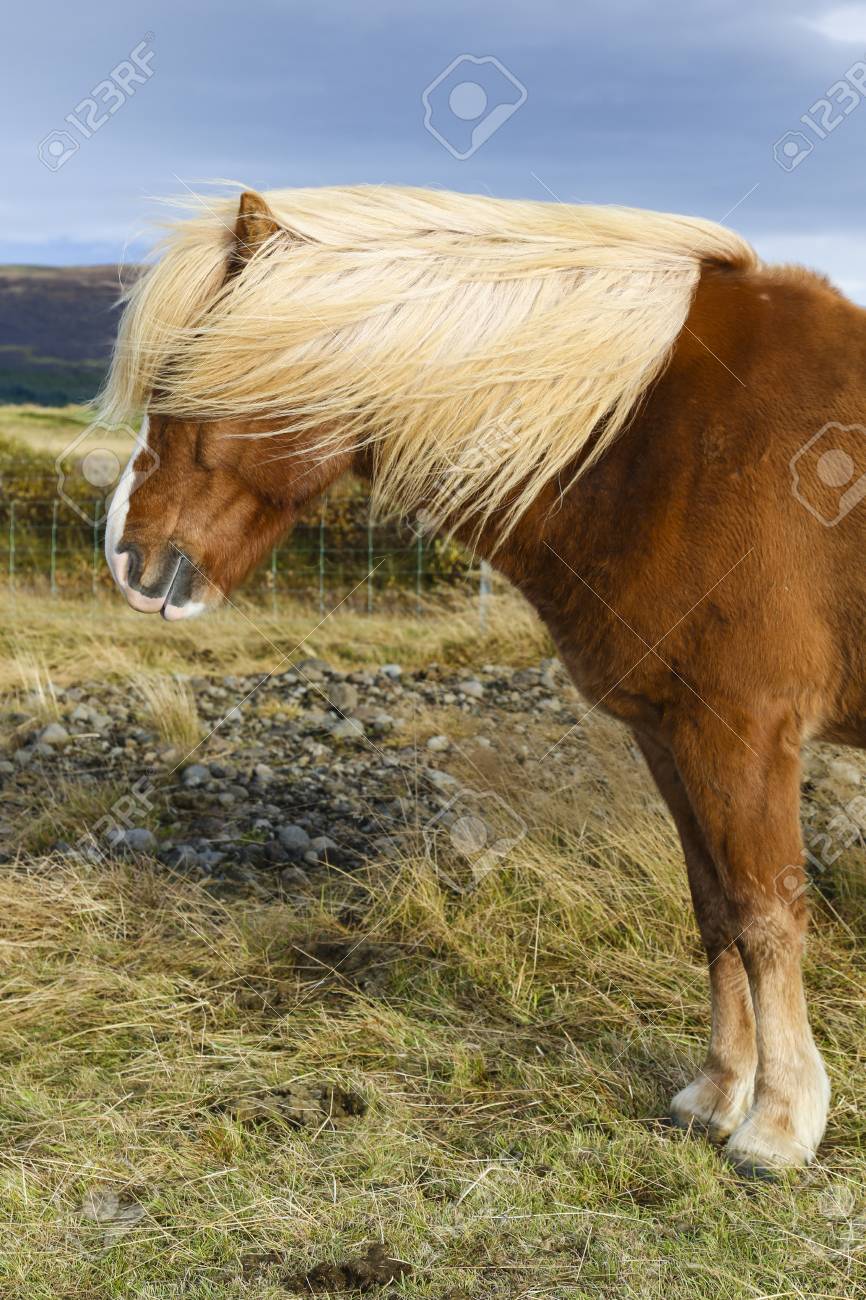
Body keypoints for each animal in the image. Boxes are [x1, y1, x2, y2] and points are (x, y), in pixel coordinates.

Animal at [101, 183, 866, 1177]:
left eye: (185, 380)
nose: (127, 558)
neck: (652, 437)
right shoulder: (670, 736)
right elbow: (713, 910)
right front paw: (716, 1096)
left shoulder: (741, 732)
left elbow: (766, 914)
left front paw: (777, 1126)